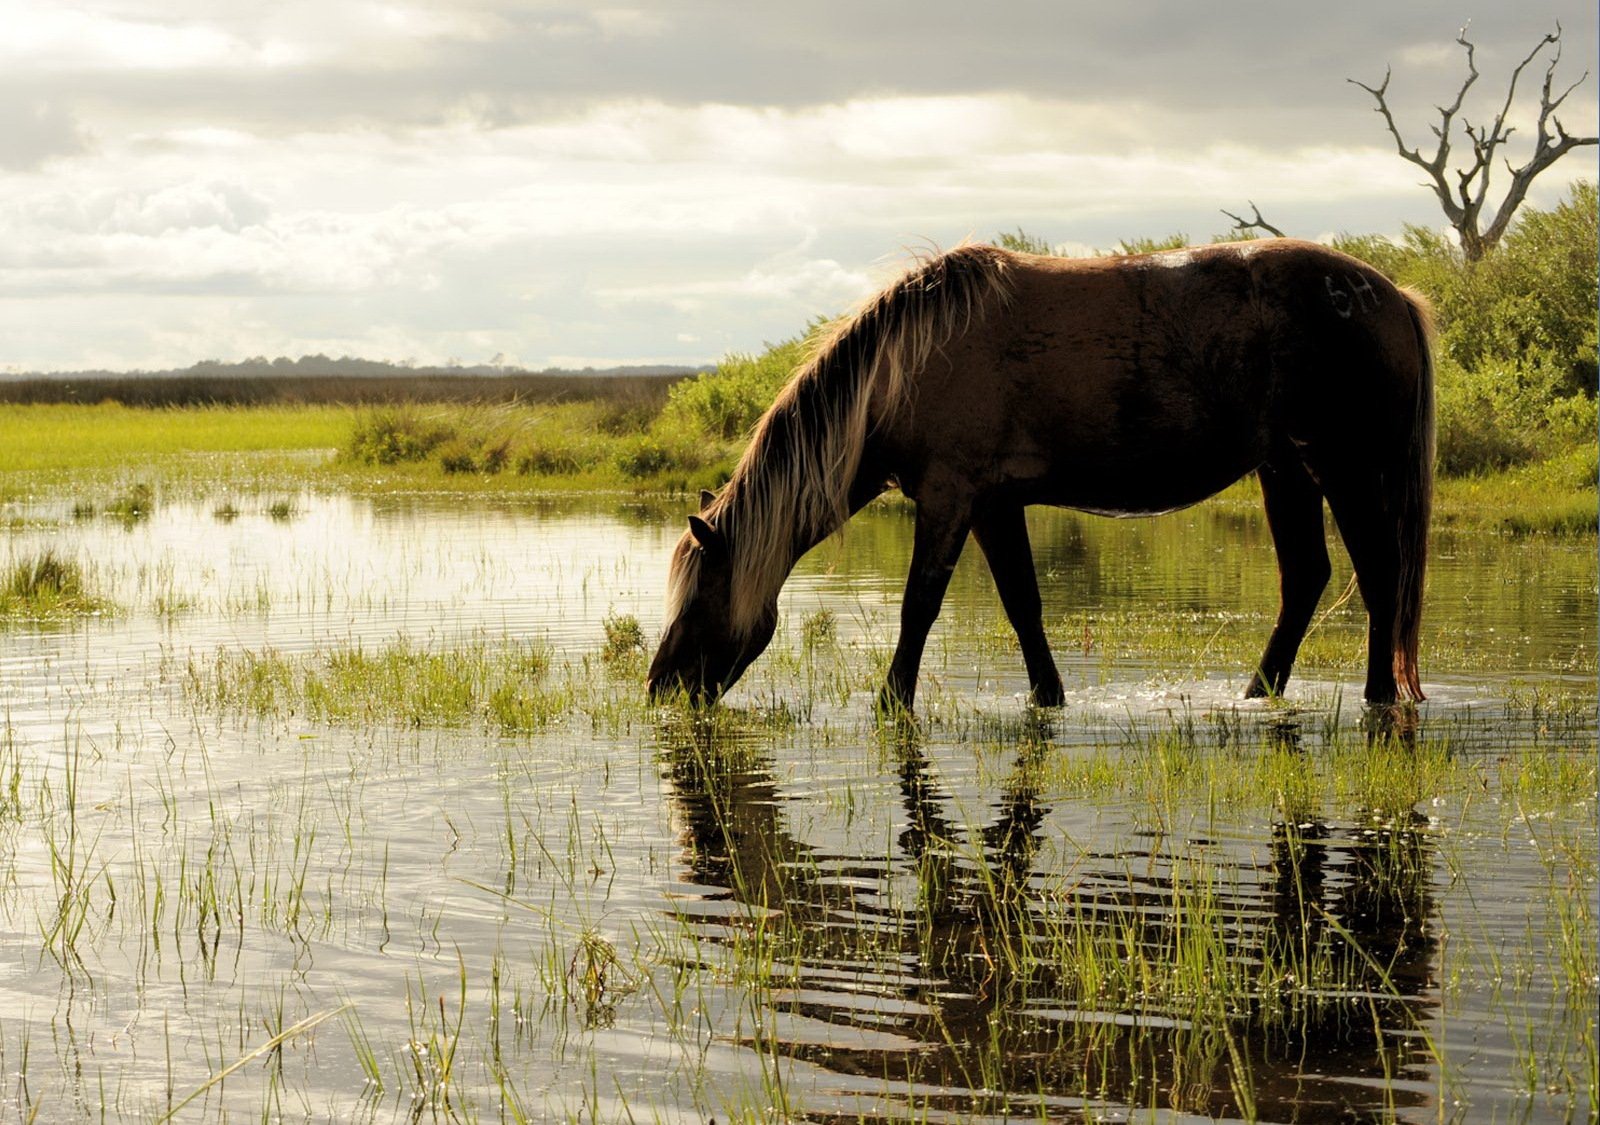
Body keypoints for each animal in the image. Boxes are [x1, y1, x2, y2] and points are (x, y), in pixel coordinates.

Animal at [646, 239, 1434, 712]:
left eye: (700, 595)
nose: (660, 686)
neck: (907, 365)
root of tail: (1392, 295)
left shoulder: (949, 498)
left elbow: (918, 607)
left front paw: (891, 702)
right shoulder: (994, 505)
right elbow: (1023, 604)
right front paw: (1047, 697)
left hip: (1344, 467)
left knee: (1379, 574)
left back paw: (1376, 697)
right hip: (1285, 469)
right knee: (1306, 578)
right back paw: (1257, 693)